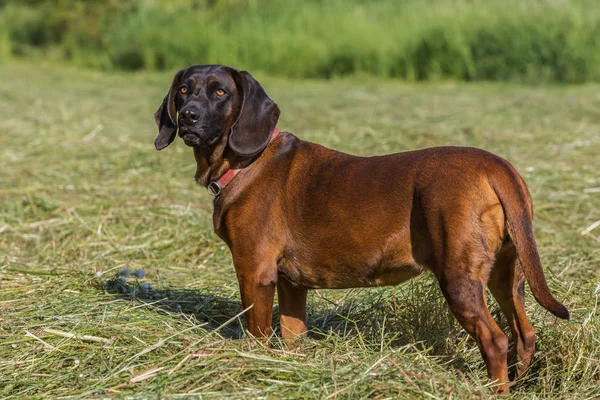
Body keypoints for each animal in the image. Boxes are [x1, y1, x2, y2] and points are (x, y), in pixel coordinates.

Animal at [154, 64, 568, 392]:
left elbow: (257, 336)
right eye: (184, 90)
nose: (188, 116)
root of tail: (496, 167)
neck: (246, 162)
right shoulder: (291, 284)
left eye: (220, 92)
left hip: (459, 279)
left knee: (496, 342)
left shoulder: (255, 273)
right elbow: (292, 338)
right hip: (506, 275)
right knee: (524, 335)